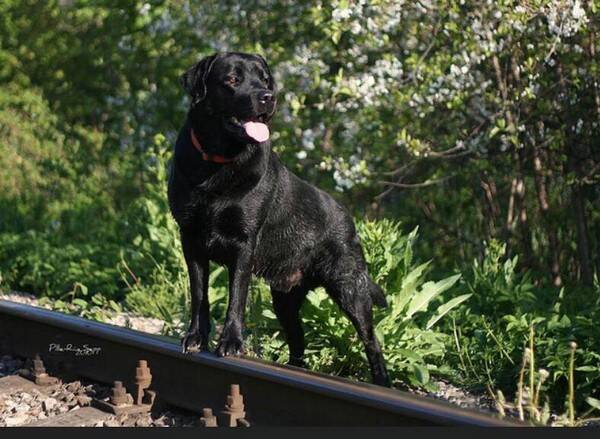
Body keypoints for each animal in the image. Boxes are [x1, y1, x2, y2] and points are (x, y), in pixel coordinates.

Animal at [168, 51, 390, 386]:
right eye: (232, 79)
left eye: (265, 80)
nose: (267, 97)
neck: (220, 163)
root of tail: (348, 217)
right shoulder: (191, 239)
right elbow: (199, 294)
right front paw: (195, 337)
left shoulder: (244, 245)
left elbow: (236, 297)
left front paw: (231, 342)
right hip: (285, 299)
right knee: (298, 339)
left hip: (350, 288)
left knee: (372, 340)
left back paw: (383, 383)